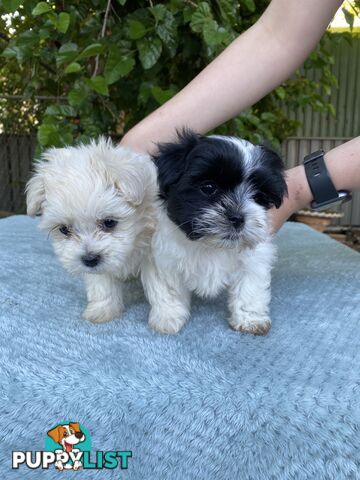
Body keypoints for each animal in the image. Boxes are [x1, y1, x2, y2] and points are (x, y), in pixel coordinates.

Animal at [26, 140, 156, 326]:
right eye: (64, 229)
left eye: (109, 222)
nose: (89, 259)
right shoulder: (99, 269)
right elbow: (102, 286)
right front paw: (102, 311)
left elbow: (159, 286)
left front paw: (165, 317)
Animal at [141, 129, 286, 336]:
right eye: (209, 188)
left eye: (259, 197)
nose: (237, 217)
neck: (211, 245)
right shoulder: (164, 258)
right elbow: (169, 289)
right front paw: (168, 317)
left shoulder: (253, 261)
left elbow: (250, 288)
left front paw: (250, 319)